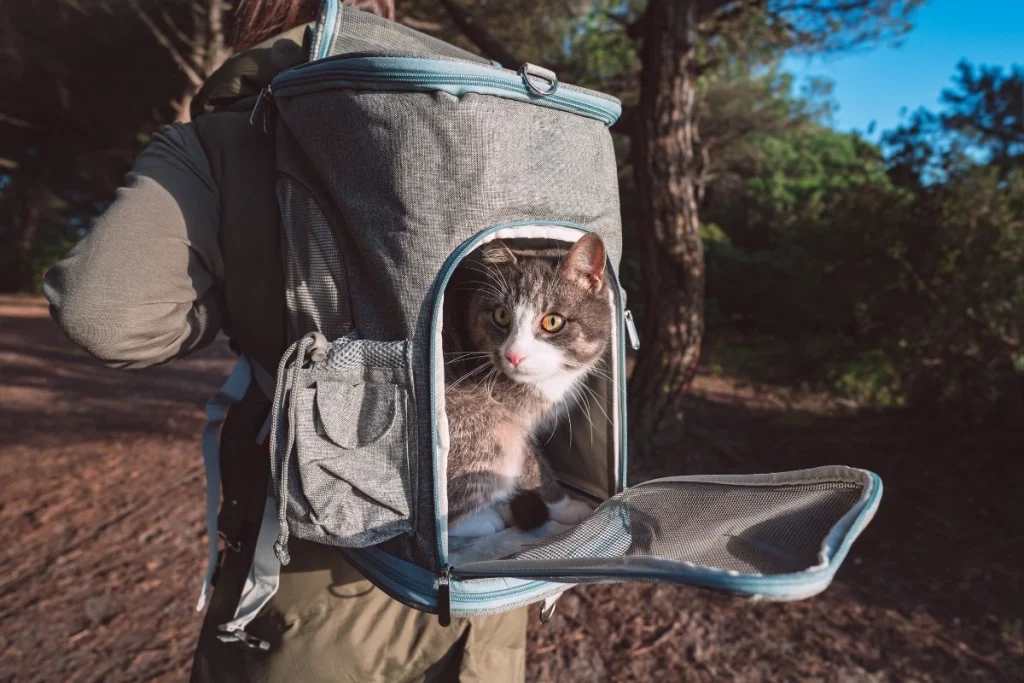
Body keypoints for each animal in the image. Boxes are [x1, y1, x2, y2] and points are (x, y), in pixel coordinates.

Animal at [444, 235, 610, 540]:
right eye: (501, 315)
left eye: (552, 321)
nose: (514, 355)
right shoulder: (514, 420)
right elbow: (534, 467)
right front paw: (564, 506)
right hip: (493, 429)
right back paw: (488, 519)